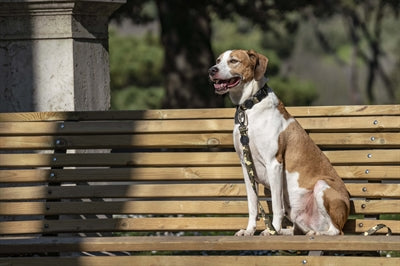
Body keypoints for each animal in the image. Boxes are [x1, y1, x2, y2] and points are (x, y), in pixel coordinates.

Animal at [209, 49, 350, 235]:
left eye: (233, 61)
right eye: (218, 60)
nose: (212, 70)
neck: (249, 107)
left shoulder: (274, 163)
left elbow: (276, 206)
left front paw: (272, 230)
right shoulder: (246, 167)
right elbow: (253, 204)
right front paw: (249, 231)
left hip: (322, 186)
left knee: (335, 231)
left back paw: (312, 233)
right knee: (298, 229)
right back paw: (288, 231)